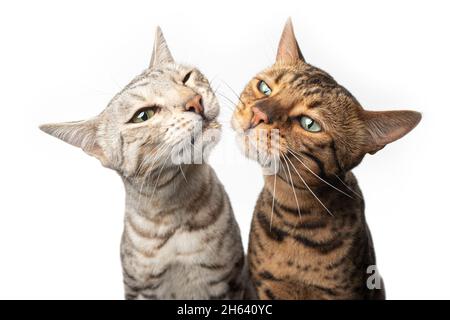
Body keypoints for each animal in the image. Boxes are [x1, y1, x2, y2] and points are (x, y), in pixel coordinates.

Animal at [38, 26, 250, 300]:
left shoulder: (227, 282)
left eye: (186, 78)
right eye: (143, 115)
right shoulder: (140, 289)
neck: (175, 214)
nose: (195, 101)